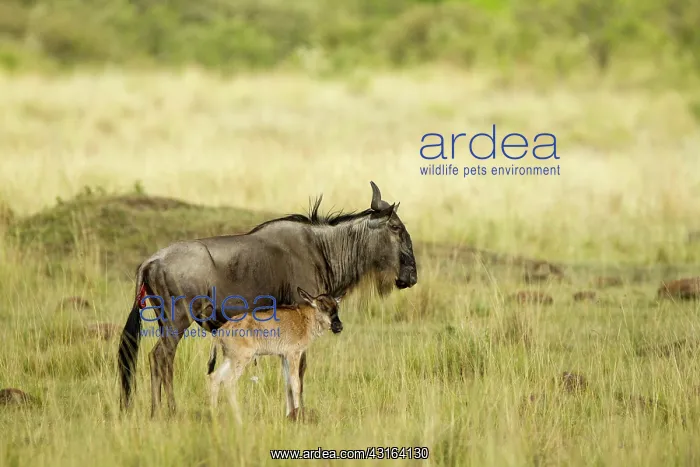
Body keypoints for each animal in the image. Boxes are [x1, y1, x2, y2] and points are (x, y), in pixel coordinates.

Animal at [206, 287, 343, 423]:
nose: (338, 326)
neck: (305, 318)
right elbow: (296, 384)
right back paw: (239, 419)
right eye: (323, 306)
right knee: (229, 382)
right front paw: (298, 416)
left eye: (337, 306)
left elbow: (287, 384)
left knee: (215, 377)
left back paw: (214, 415)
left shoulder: (283, 356)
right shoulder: (293, 354)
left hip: (230, 359)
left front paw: (289, 415)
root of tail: (221, 331)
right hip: (241, 359)